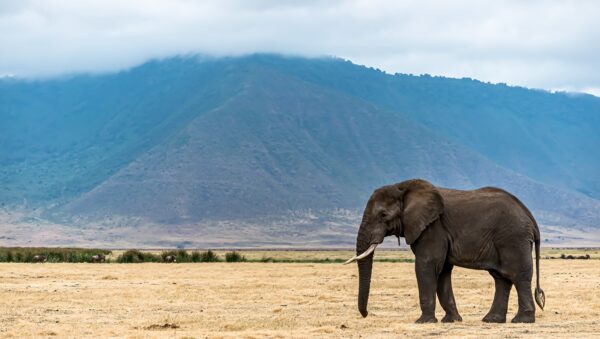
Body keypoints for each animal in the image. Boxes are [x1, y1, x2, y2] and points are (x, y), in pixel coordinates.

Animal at [344, 178, 548, 324]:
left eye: (383, 215)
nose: (366, 314)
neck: (403, 187)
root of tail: (530, 216)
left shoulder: (432, 228)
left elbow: (426, 266)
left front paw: (423, 322)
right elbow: (442, 271)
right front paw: (452, 320)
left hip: (513, 238)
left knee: (518, 275)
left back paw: (522, 321)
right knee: (501, 278)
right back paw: (492, 320)